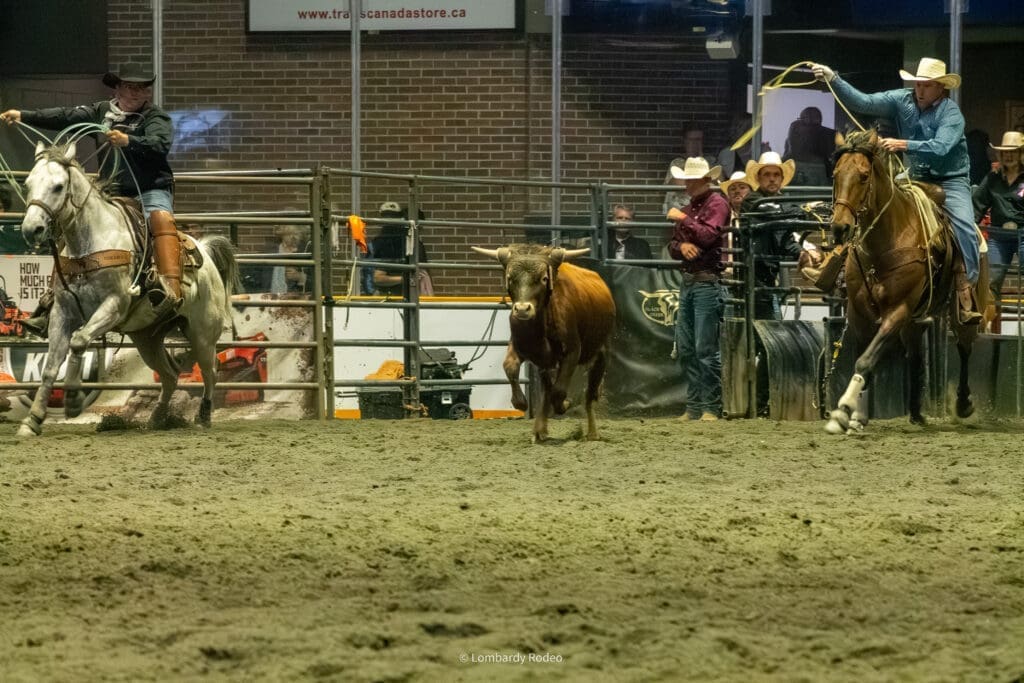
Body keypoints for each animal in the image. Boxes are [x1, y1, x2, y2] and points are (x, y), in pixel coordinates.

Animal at [16, 141, 240, 437]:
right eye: (28, 184)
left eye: (58, 186)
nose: (32, 229)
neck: (90, 243)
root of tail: (205, 253)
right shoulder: (62, 312)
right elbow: (51, 366)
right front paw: (33, 420)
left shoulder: (114, 306)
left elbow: (79, 340)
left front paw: (73, 399)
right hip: (147, 338)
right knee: (170, 374)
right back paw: (157, 417)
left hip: (202, 334)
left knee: (210, 372)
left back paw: (203, 417)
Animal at [472, 244, 616, 443]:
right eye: (510, 278)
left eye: (544, 278)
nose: (522, 309)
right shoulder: (521, 346)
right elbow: (510, 367)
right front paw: (520, 402)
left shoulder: (572, 352)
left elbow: (559, 391)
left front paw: (565, 404)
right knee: (548, 389)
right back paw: (540, 429)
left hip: (601, 352)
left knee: (590, 394)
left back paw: (592, 432)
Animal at [824, 128, 988, 435]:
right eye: (835, 174)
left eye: (864, 175)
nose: (840, 227)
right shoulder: (858, 313)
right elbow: (865, 360)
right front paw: (856, 416)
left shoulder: (897, 311)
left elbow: (865, 361)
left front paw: (841, 412)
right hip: (914, 320)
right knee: (915, 354)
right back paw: (915, 412)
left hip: (965, 311)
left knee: (964, 347)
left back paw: (963, 404)